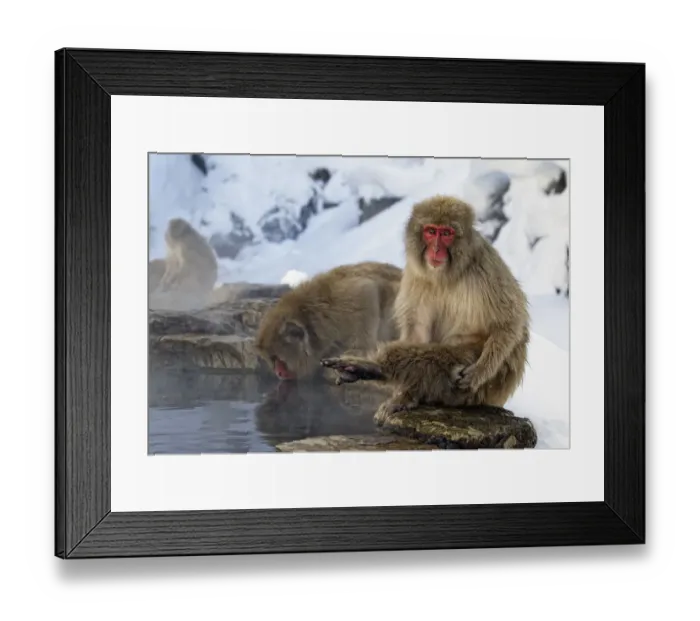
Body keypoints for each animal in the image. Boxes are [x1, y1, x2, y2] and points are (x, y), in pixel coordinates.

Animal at [254, 261, 403, 382]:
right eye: (272, 360)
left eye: (277, 359)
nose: (278, 372)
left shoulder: (343, 303)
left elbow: (366, 290)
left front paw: (359, 351)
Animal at [321, 195, 530, 424]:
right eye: (431, 231)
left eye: (446, 233)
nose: (436, 249)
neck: (445, 274)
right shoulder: (416, 275)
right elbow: (417, 331)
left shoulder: (485, 266)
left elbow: (508, 322)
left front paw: (480, 370)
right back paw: (387, 381)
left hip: (483, 390)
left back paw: (375, 369)